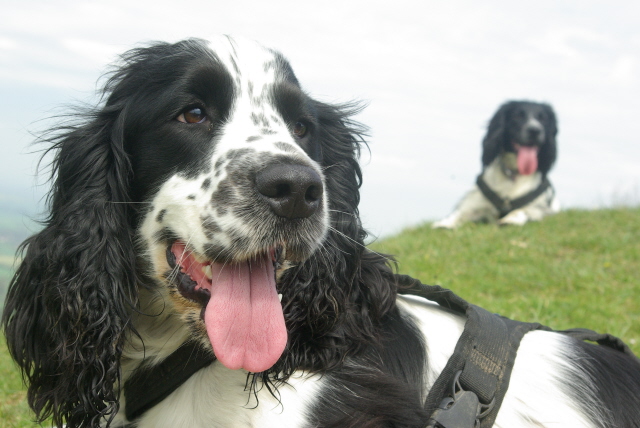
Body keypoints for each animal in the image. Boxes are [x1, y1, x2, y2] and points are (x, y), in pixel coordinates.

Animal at [436, 100, 560, 229]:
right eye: (517, 116)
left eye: (543, 119)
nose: (535, 130)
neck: (513, 174)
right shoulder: (473, 203)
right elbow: (459, 214)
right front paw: (445, 223)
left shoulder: (539, 208)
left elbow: (525, 210)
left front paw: (511, 219)